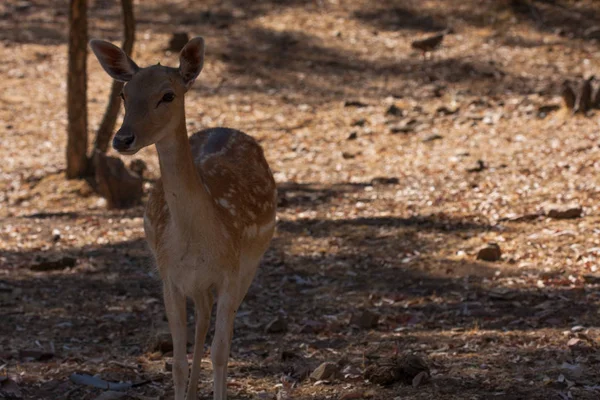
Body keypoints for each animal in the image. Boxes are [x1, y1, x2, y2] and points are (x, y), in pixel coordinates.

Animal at [90, 36, 278, 398]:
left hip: (251, 264)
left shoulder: (231, 272)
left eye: (168, 95)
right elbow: (176, 362)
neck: (197, 240)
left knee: (214, 321)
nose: (122, 139)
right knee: (203, 313)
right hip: (197, 282)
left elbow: (221, 353)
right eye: (124, 94)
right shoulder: (170, 277)